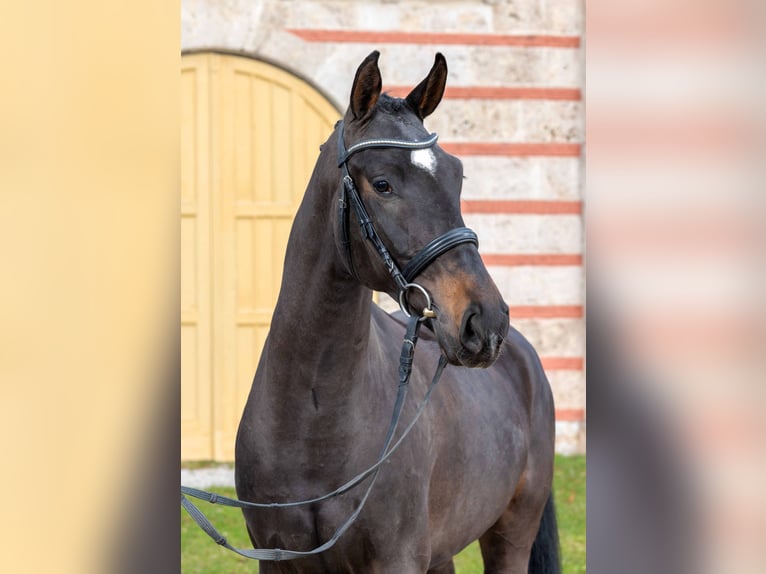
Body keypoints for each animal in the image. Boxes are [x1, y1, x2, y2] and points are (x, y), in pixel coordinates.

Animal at [234, 51, 559, 573]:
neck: (312, 421)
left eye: (457, 177)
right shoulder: (275, 558)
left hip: (510, 537)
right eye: (383, 184)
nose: (486, 322)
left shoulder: (397, 558)